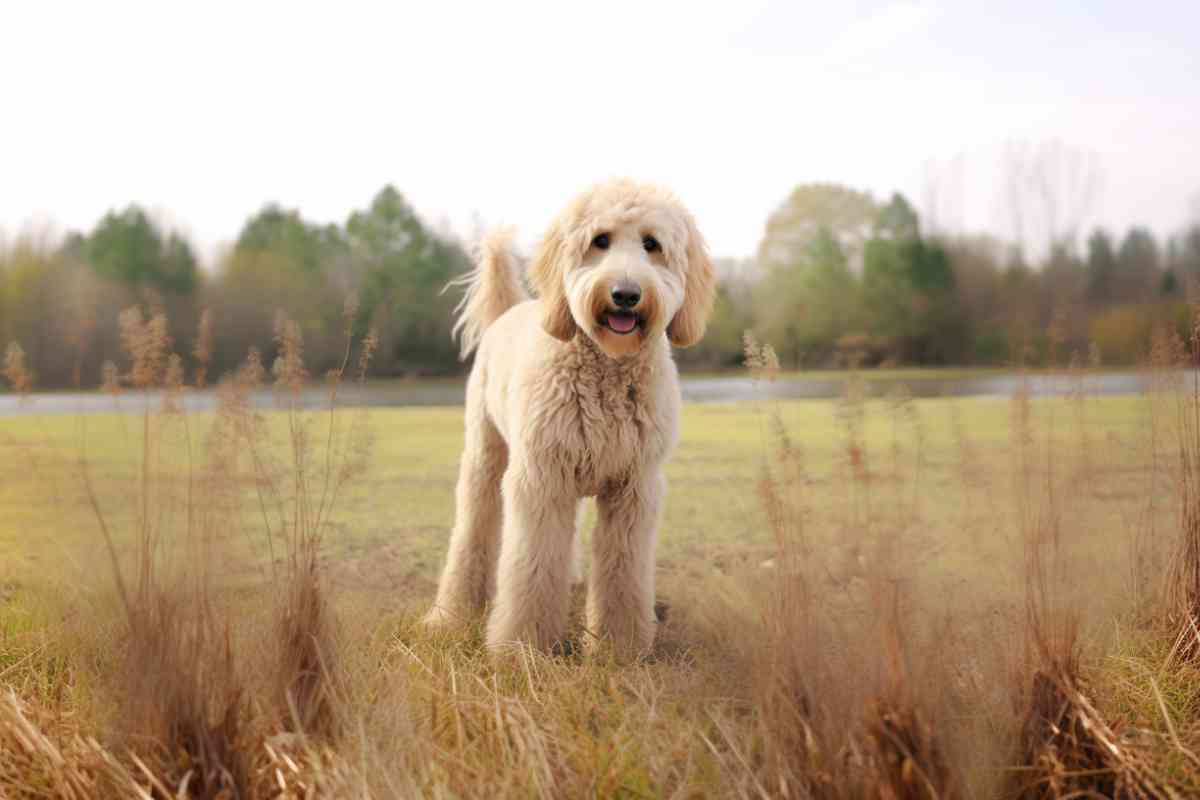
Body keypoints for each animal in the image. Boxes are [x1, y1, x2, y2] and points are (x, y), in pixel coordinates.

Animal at [424, 179, 710, 657]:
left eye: (652, 245)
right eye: (600, 241)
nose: (626, 294)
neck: (607, 372)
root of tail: (508, 311)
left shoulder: (633, 488)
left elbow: (623, 574)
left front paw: (618, 649)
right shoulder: (542, 479)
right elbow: (532, 569)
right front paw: (522, 646)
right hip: (486, 456)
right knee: (472, 533)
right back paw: (452, 613)